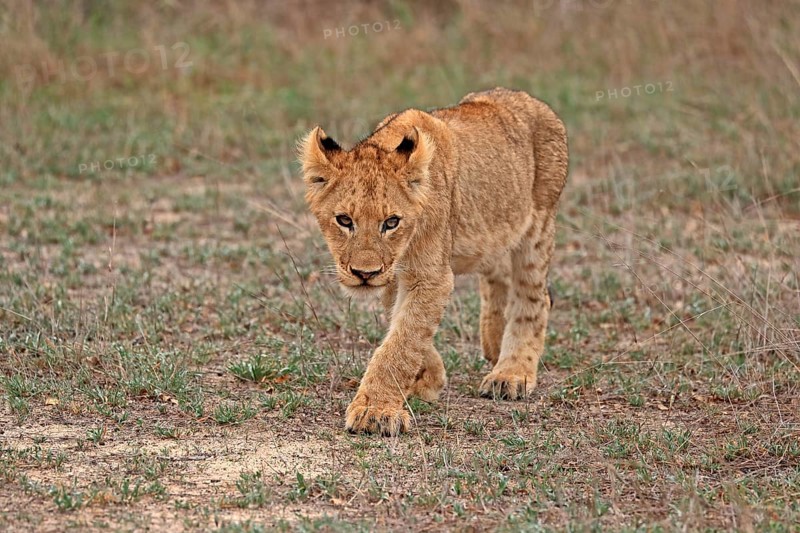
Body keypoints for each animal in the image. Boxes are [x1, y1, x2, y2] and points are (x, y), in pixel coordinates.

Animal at [299, 87, 568, 435]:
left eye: (391, 222)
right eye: (344, 220)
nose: (363, 273)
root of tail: (529, 99)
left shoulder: (431, 275)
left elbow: (402, 341)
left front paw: (375, 411)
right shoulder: (393, 276)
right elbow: (406, 330)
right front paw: (429, 380)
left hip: (538, 226)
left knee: (535, 297)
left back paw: (511, 373)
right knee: (497, 272)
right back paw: (494, 343)